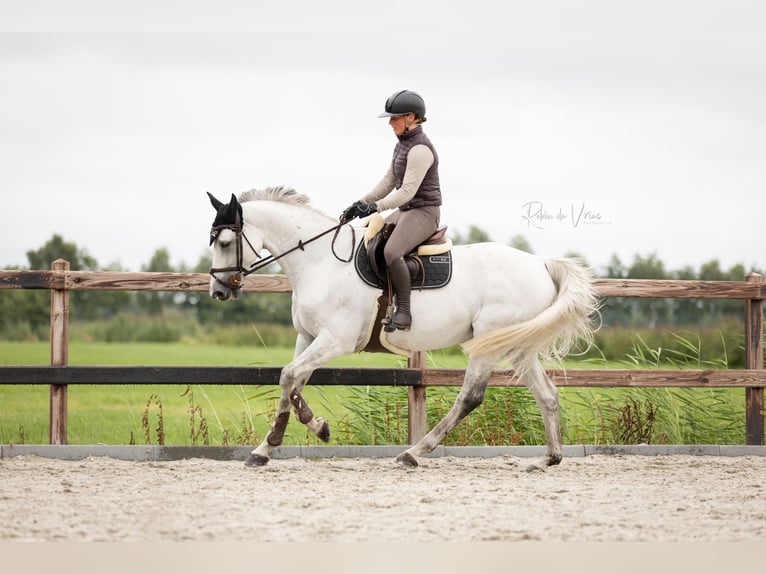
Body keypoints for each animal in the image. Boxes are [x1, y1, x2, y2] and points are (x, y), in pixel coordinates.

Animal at [207, 186, 599, 468]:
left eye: (225, 242)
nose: (218, 291)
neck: (319, 262)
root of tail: (541, 263)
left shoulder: (335, 340)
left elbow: (289, 377)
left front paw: (317, 428)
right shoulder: (308, 338)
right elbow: (290, 382)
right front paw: (264, 448)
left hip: (489, 340)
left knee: (470, 396)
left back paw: (413, 452)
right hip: (517, 346)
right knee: (546, 394)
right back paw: (549, 458)